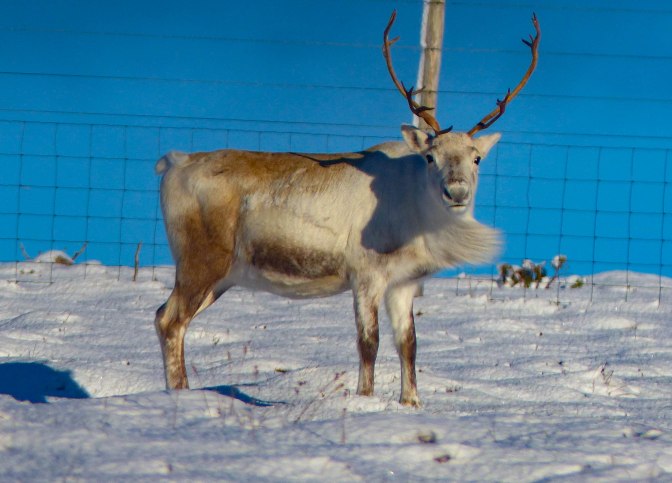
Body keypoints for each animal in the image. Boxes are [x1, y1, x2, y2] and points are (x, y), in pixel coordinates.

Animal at [154, 11, 540, 407]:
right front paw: (364, 398)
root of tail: (172, 164)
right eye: (431, 157)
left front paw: (411, 402)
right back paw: (179, 394)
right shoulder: (366, 273)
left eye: (477, 158)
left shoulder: (404, 282)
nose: (456, 191)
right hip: (200, 259)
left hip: (225, 275)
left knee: (165, 316)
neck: (419, 219)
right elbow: (369, 342)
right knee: (170, 319)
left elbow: (409, 344)